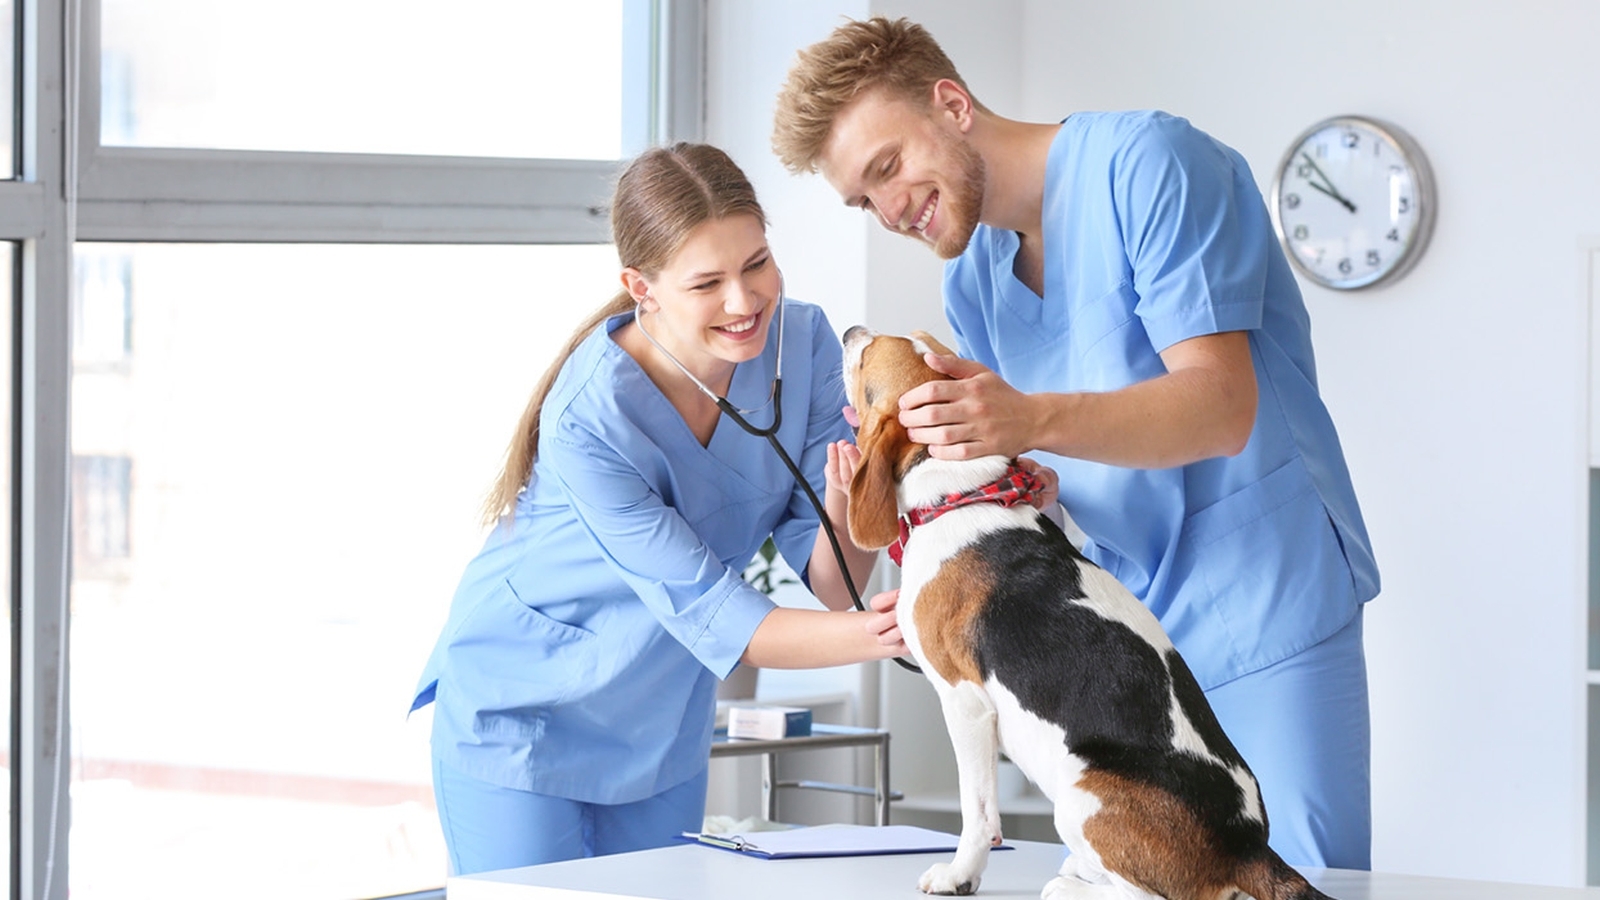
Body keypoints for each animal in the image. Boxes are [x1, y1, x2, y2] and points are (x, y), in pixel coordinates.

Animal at [838, 328, 1324, 896]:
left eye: (869, 354)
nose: (849, 332)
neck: (963, 493)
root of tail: (1247, 847)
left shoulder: (964, 701)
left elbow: (977, 811)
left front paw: (959, 874)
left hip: (1078, 789)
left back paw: (1069, 885)